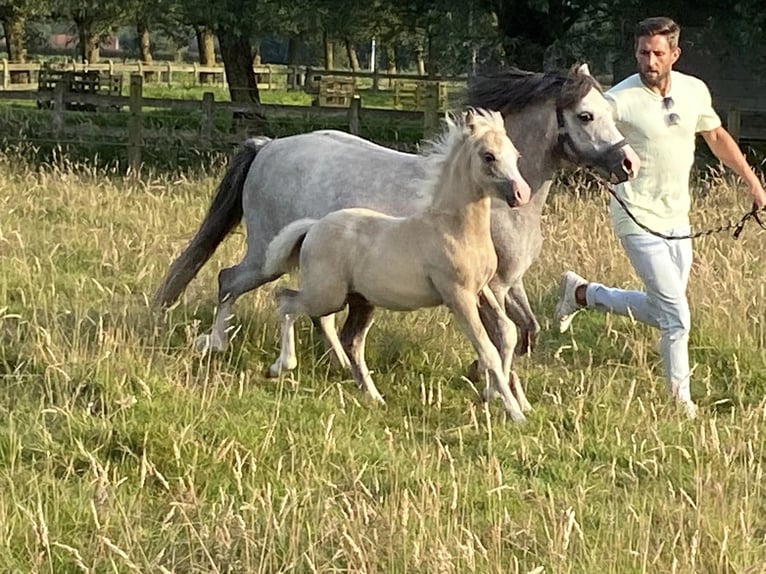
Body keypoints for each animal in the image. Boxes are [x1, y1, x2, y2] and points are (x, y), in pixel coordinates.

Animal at [264, 109, 536, 424]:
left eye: (516, 155)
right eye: (488, 156)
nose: (521, 194)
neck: (455, 228)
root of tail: (313, 226)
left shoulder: (481, 290)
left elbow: (507, 331)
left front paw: (491, 395)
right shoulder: (458, 296)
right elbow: (488, 349)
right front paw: (514, 412)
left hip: (361, 301)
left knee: (352, 341)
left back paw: (374, 397)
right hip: (326, 296)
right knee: (285, 300)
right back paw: (280, 366)